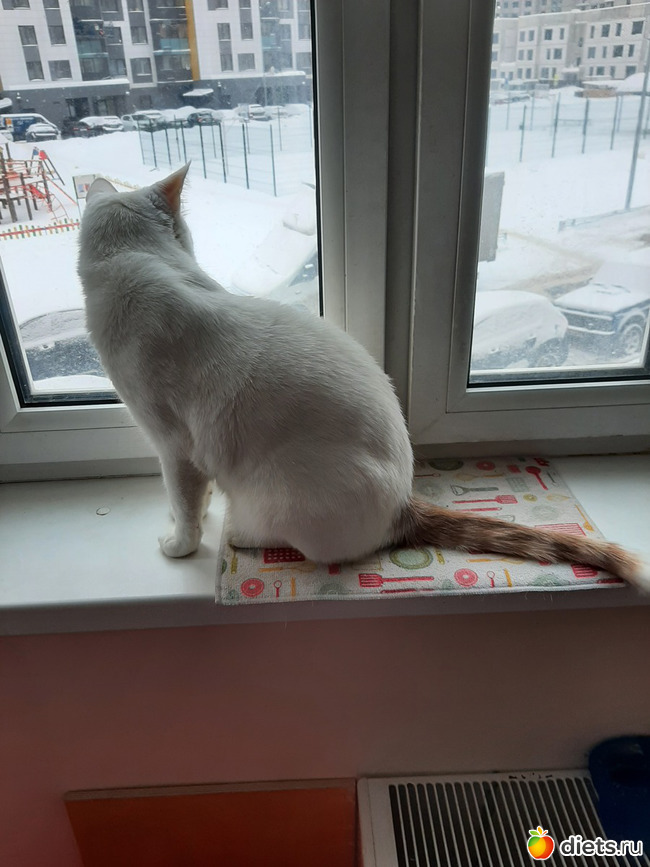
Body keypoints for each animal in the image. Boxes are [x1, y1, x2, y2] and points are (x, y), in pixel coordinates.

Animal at [78, 166, 649, 590]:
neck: (135, 257)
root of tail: (403, 503)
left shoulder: (173, 445)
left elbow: (185, 505)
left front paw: (179, 543)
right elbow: (194, 499)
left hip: (278, 495)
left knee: (278, 537)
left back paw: (241, 531)